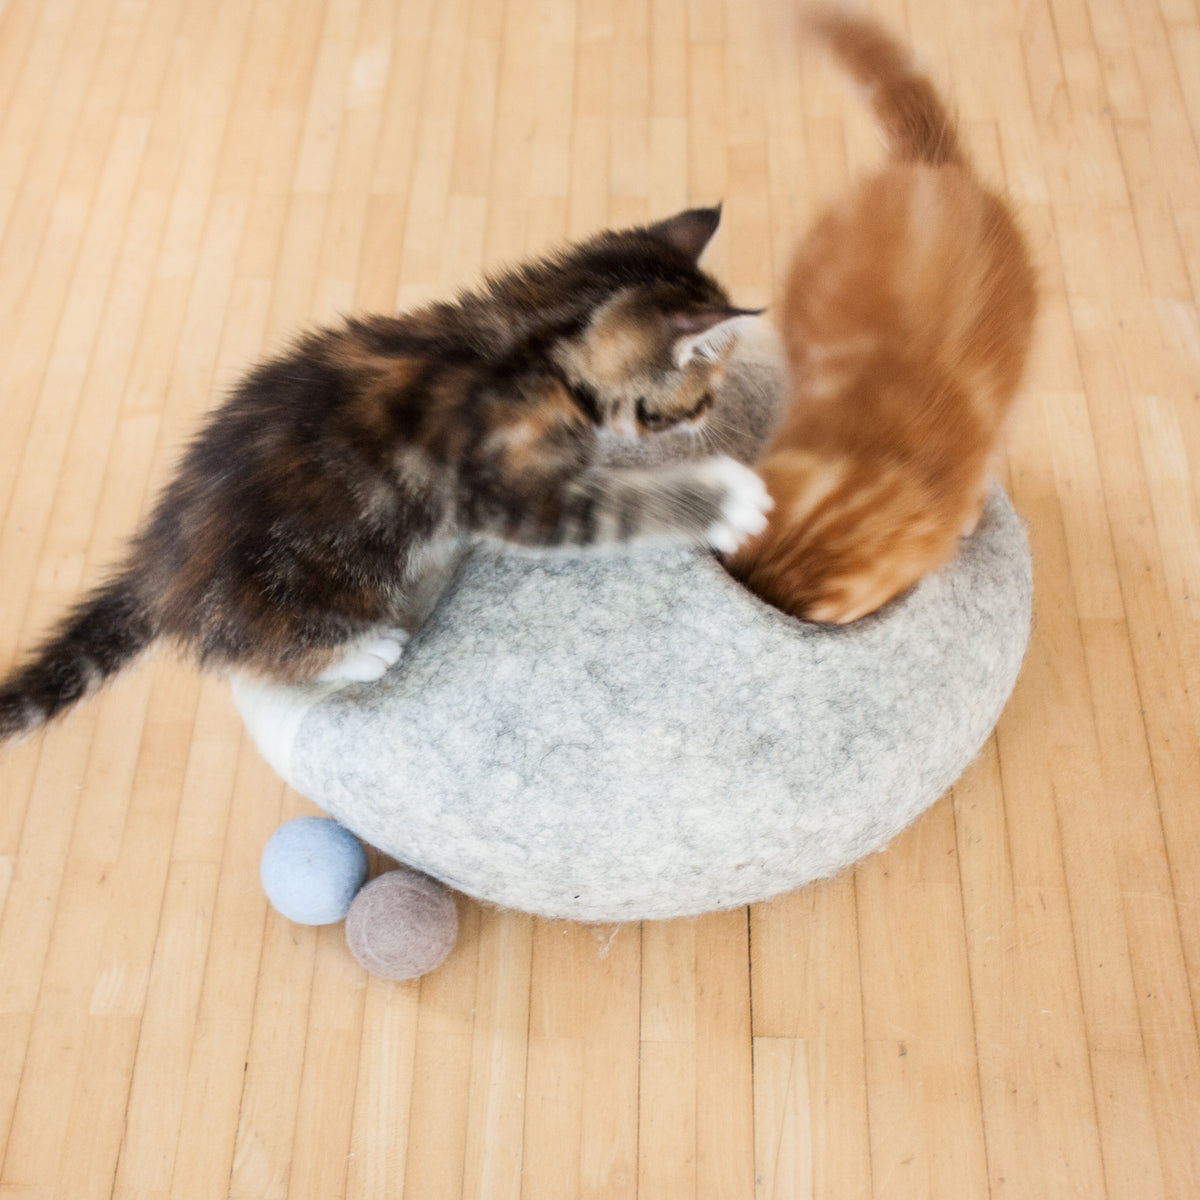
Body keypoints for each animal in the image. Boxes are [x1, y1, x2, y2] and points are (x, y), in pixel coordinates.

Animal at [0, 208, 768, 739]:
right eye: (700, 398)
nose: (712, 412)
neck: (532, 340)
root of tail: (155, 567)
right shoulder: (506, 486)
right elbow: (615, 509)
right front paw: (725, 499)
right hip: (315, 583)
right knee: (241, 656)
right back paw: (360, 654)